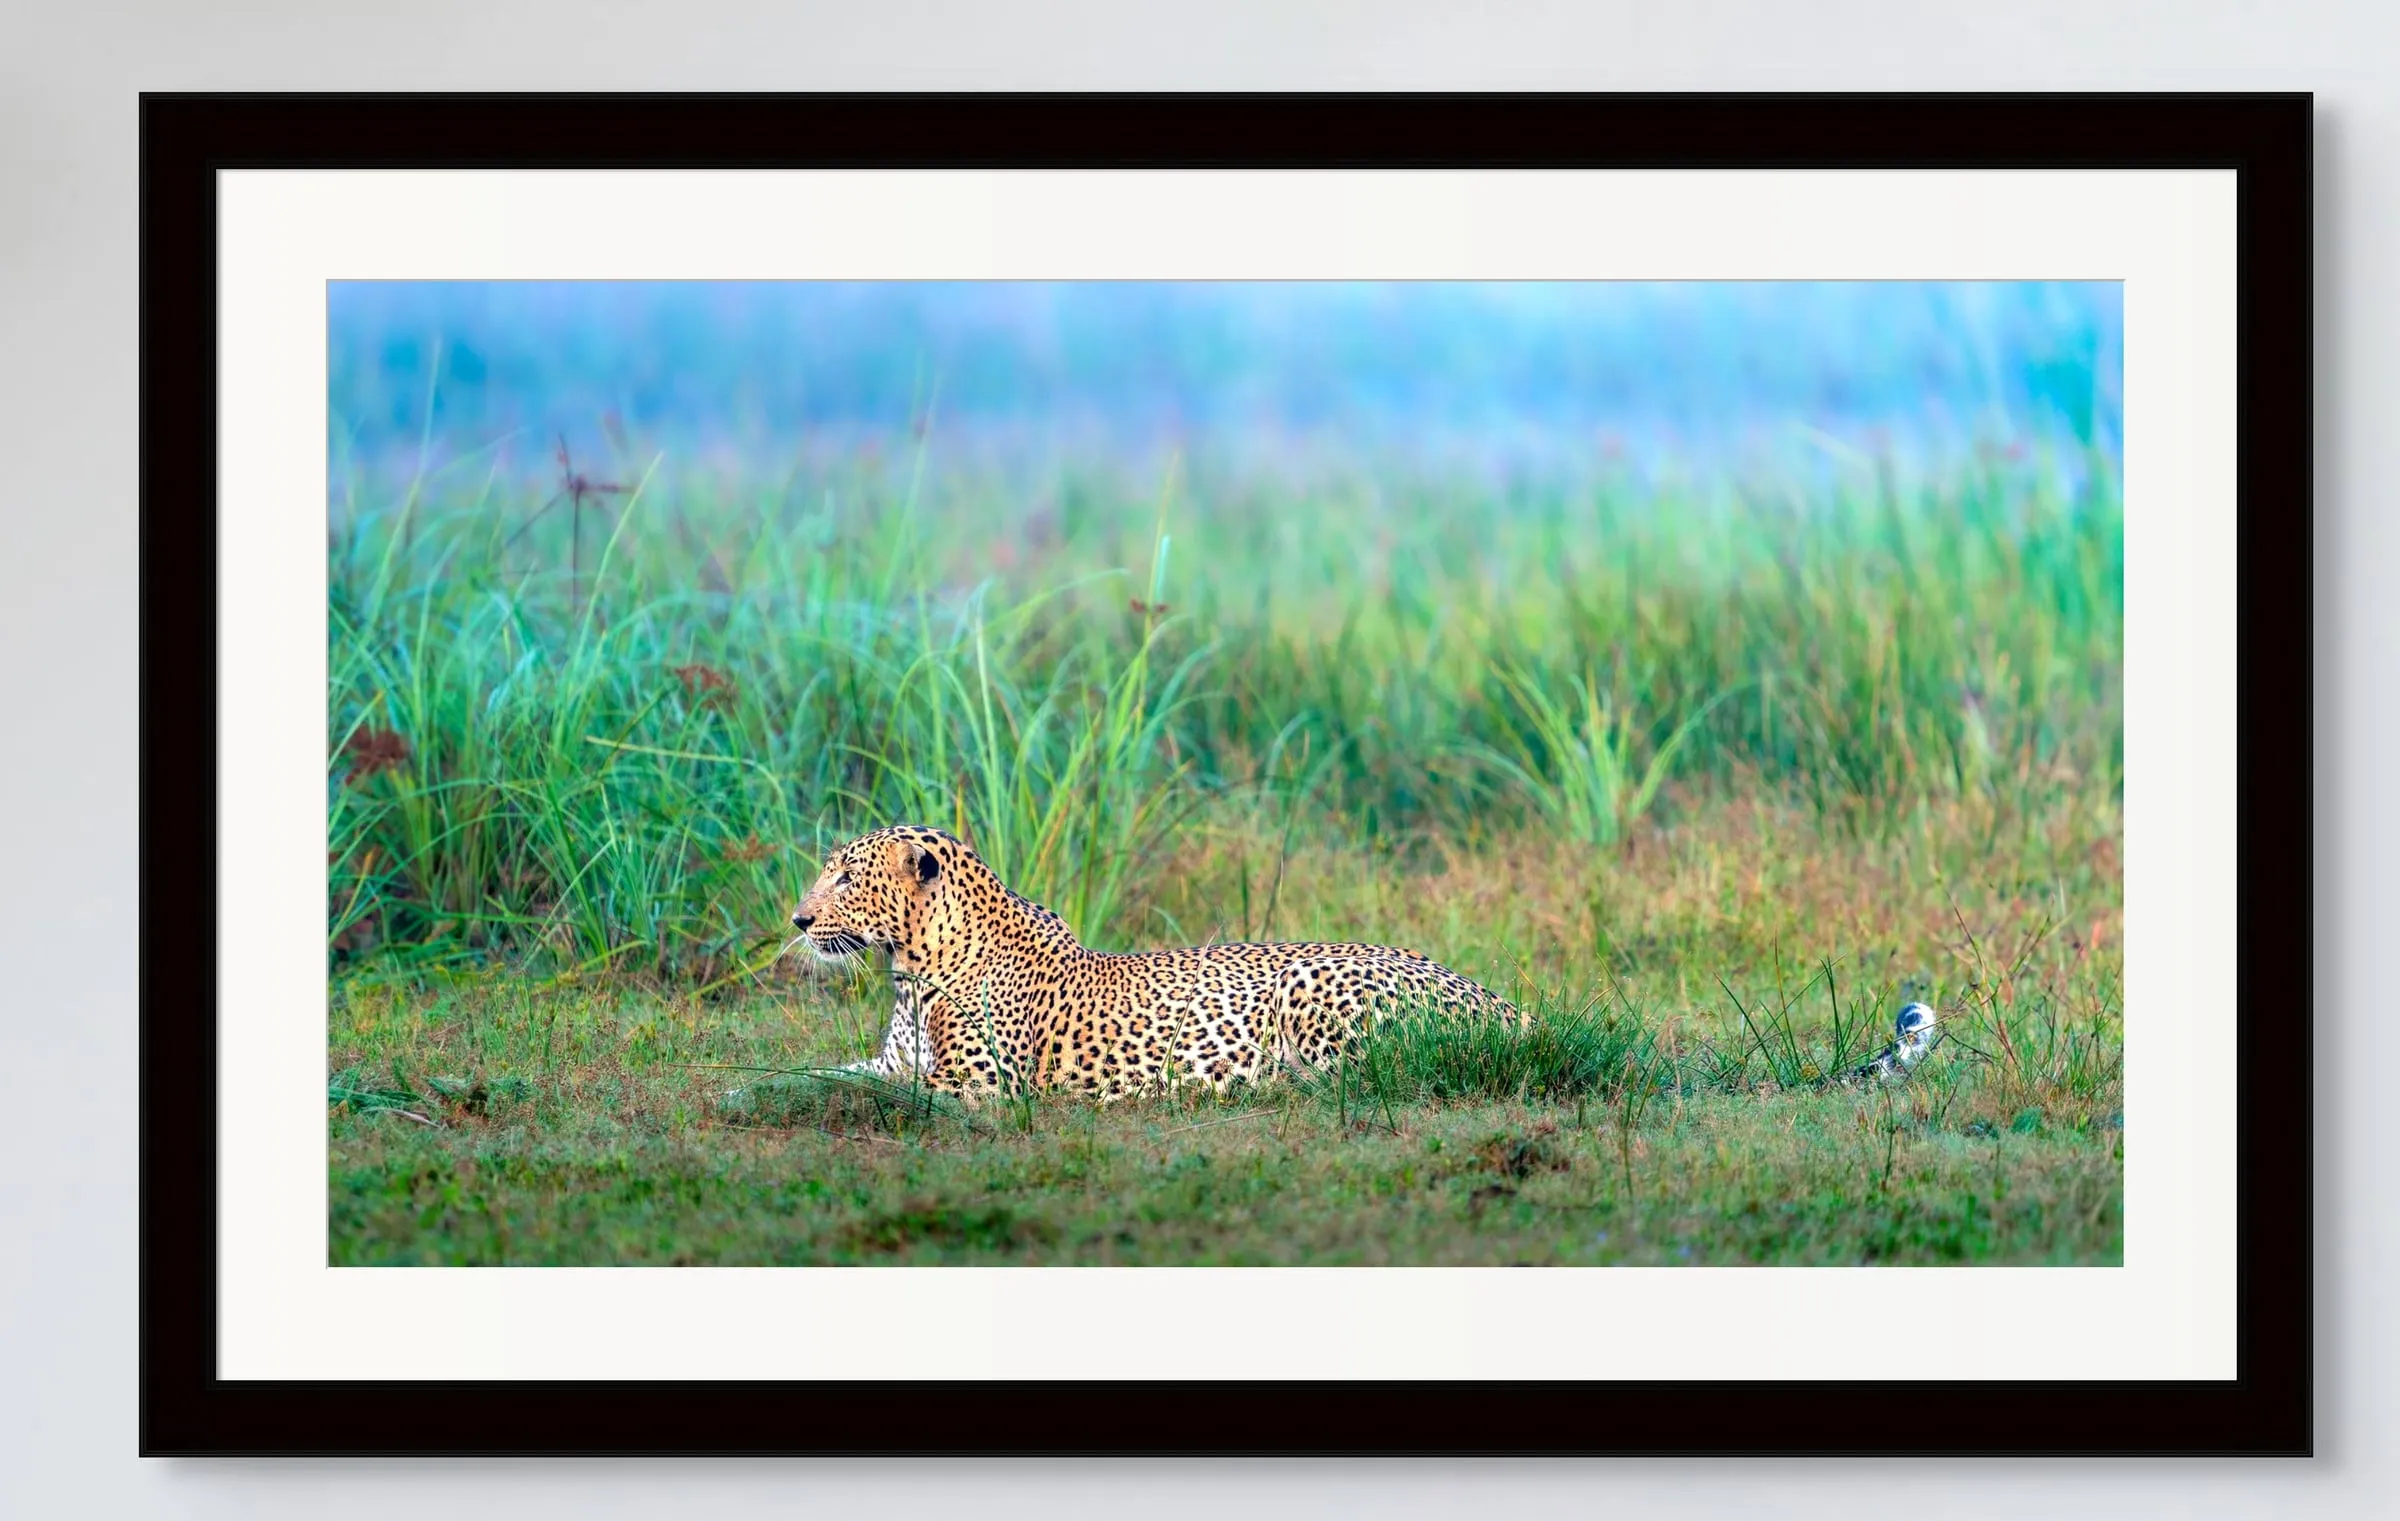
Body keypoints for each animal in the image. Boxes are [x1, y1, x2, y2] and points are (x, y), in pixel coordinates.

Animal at [786, 824, 1524, 1100]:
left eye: (846, 879)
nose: (798, 920)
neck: (909, 970)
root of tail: (1501, 1003)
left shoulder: (983, 1083)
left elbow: (869, 1089)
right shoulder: (893, 1062)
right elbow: (819, 1071)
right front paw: (768, 1084)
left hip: (1311, 990)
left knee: (1370, 1074)